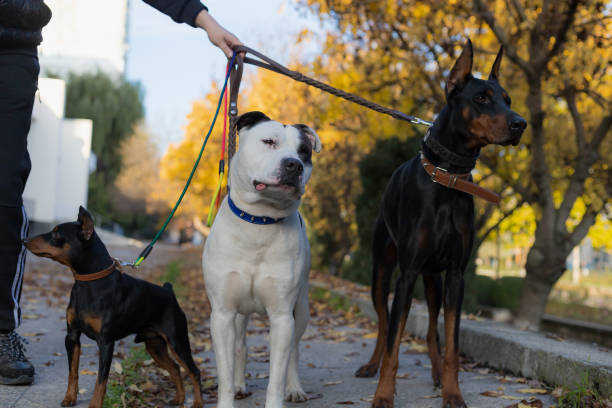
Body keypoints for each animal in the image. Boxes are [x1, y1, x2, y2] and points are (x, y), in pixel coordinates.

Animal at [24, 207, 203, 408]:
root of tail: (169, 291)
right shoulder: (72, 336)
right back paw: (179, 398)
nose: (25, 240)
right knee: (175, 368)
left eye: (56, 233)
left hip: (177, 342)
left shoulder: (106, 342)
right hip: (154, 345)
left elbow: (101, 380)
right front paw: (70, 398)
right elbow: (73, 372)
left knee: (194, 371)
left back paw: (197, 402)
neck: (89, 283)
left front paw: (94, 405)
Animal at [356, 39, 528, 408]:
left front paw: (452, 392)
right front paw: (384, 395)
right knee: (383, 324)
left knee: (433, 330)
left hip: (433, 279)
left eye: (508, 99)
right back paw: (371, 366)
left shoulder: (456, 276)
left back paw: (435, 375)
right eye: (481, 98)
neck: (449, 178)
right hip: (382, 272)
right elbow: (393, 343)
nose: (520, 124)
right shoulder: (406, 274)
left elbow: (451, 343)